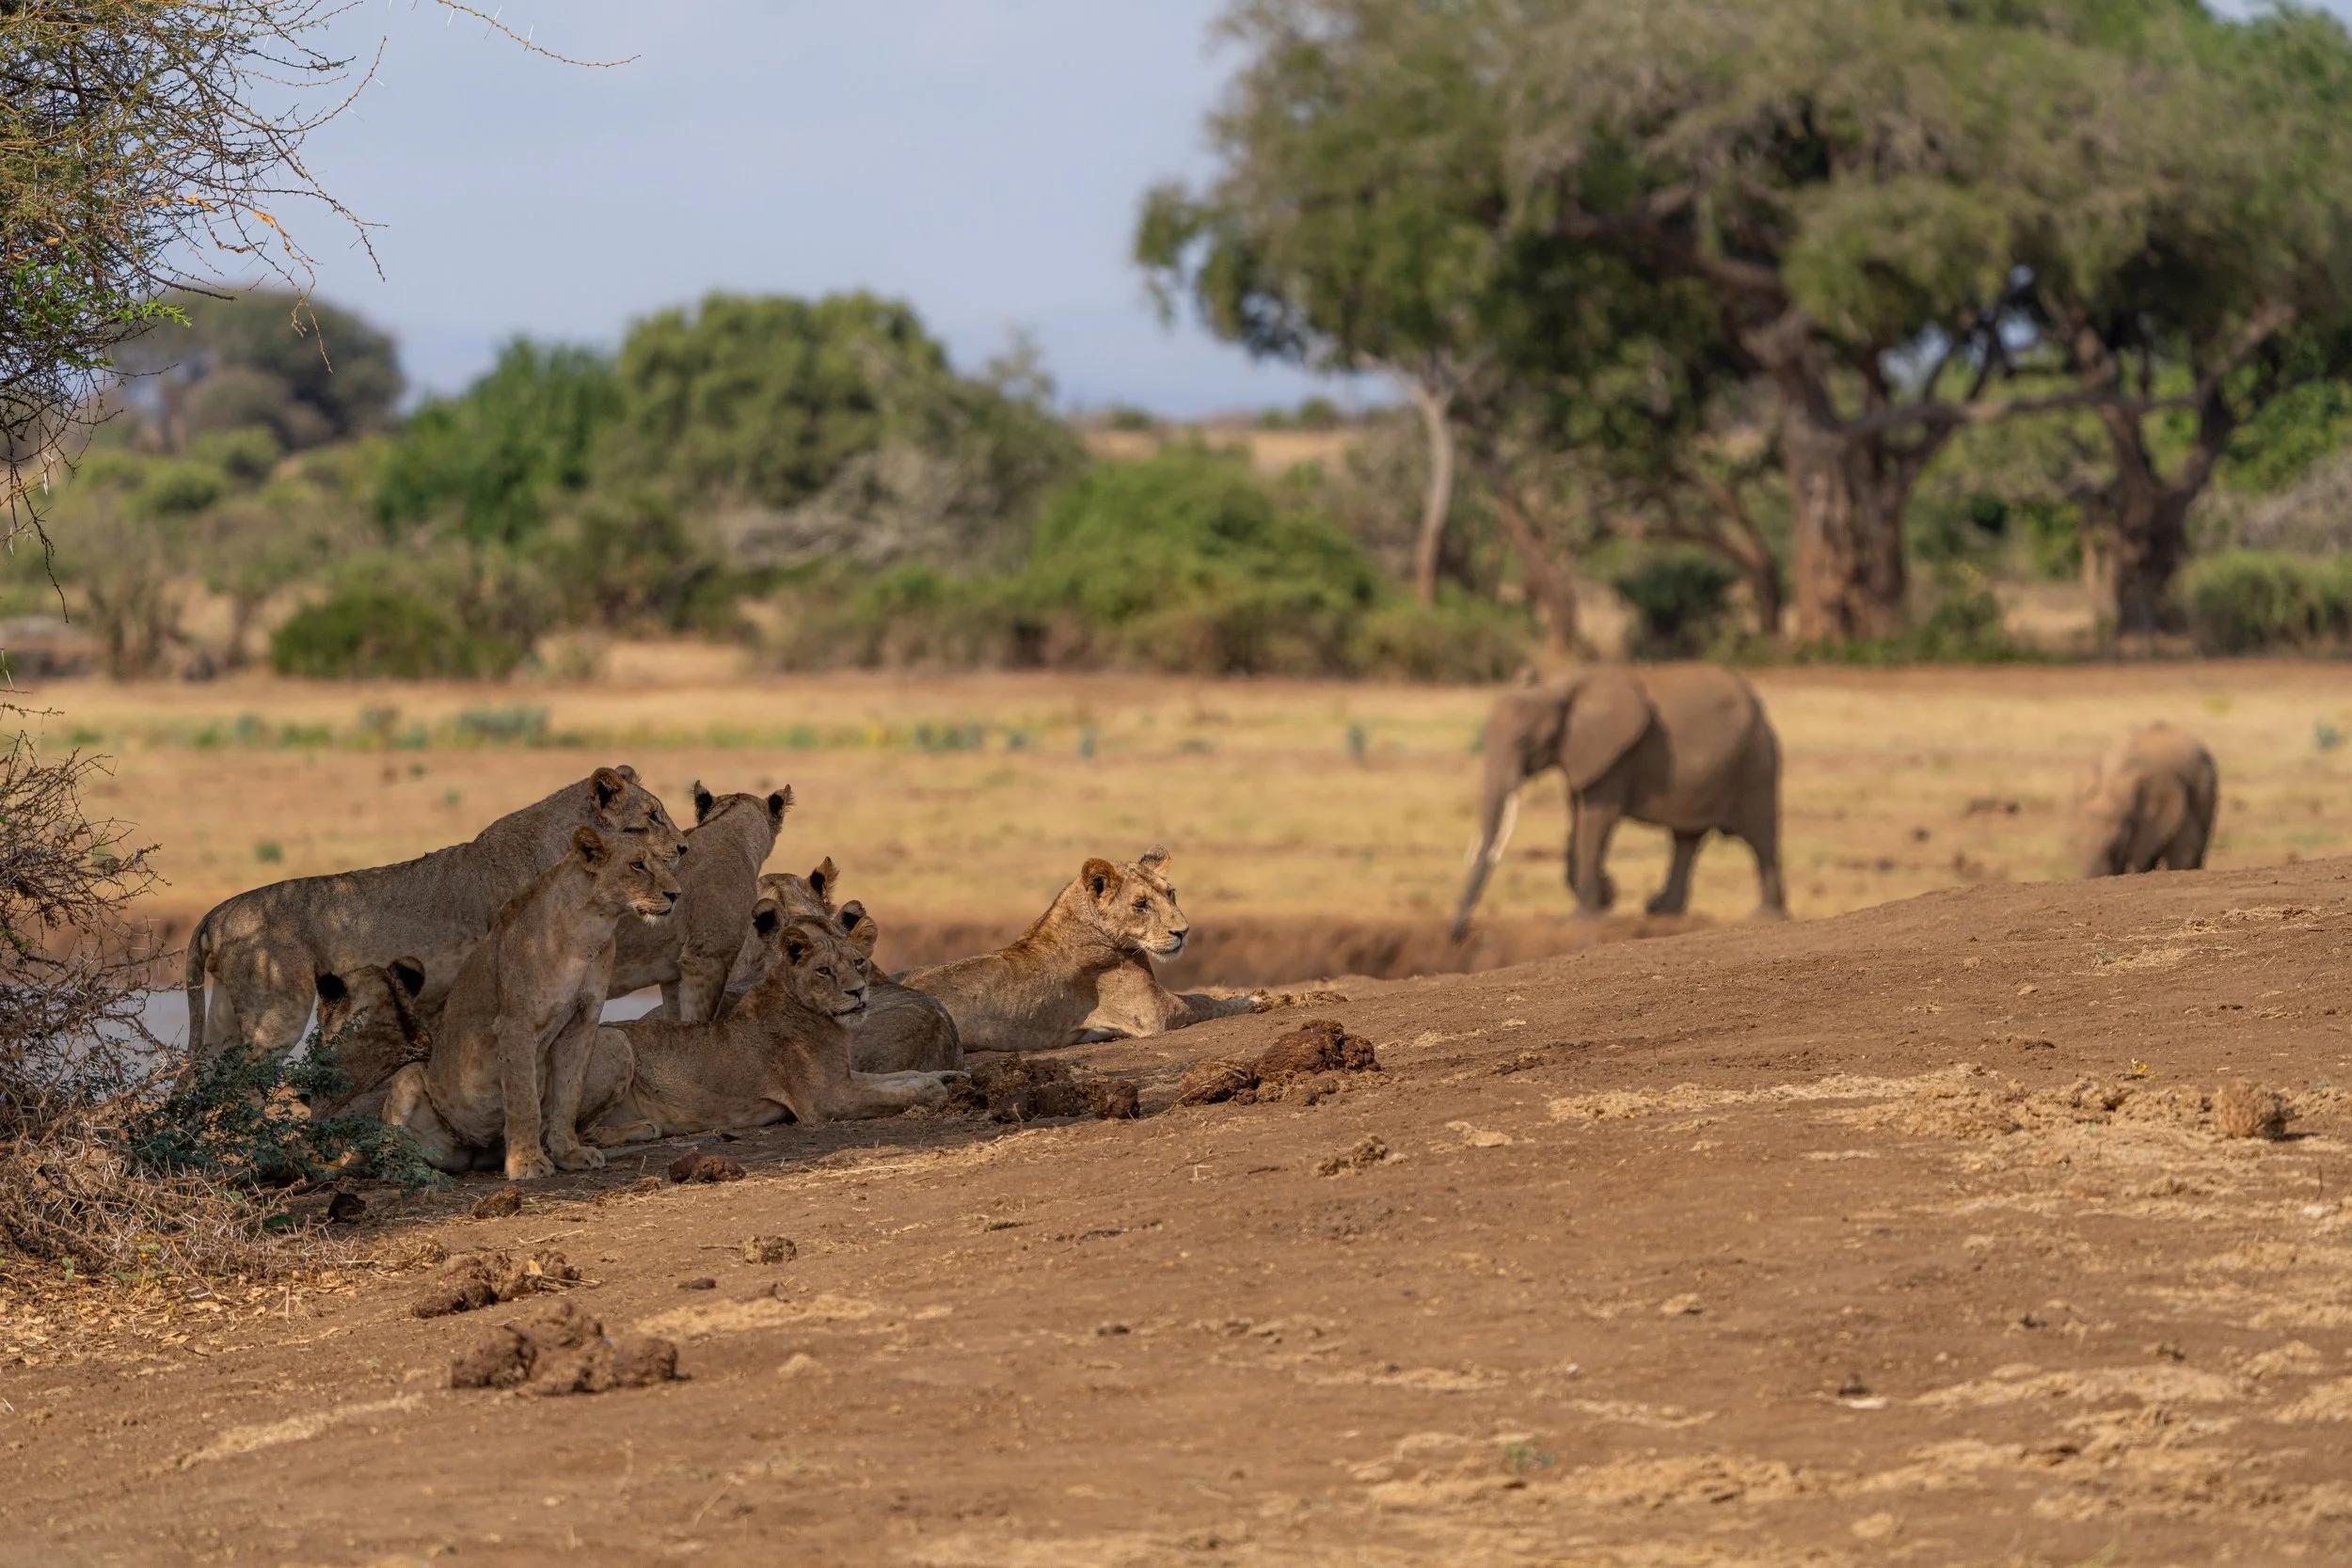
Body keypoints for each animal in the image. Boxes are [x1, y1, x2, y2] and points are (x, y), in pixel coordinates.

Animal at [379, 826, 682, 1179]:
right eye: (637, 865)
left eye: (662, 861)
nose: (676, 894)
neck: (590, 930)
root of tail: (473, 1152)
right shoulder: (516, 1024)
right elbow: (524, 1100)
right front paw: (525, 1162)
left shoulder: (583, 1022)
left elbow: (568, 1096)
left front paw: (568, 1153)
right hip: (410, 1077)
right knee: (390, 1144)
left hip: (616, 1039)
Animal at [576, 905, 964, 1145]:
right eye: (824, 970)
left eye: (859, 962)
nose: (857, 992)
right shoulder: (826, 1101)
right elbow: (891, 1095)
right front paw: (933, 1091)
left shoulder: (843, 1076)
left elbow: (901, 1076)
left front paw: (944, 1077)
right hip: (614, 1040)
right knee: (574, 1132)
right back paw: (644, 1127)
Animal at [898, 846, 1255, 1054]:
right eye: (1141, 904)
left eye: (1171, 893)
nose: (1183, 932)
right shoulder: (1155, 1012)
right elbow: (1204, 1000)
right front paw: (1252, 1000)